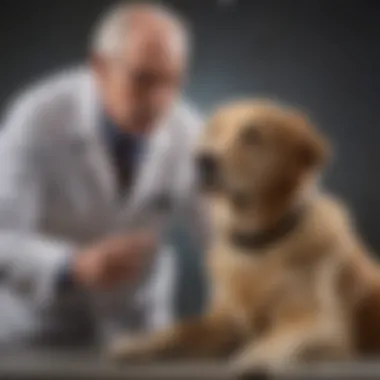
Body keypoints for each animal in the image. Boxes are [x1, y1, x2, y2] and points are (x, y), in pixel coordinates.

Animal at [109, 99, 380, 370]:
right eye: (214, 131)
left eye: (252, 135)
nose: (202, 161)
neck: (256, 245)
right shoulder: (222, 321)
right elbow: (179, 330)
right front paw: (136, 344)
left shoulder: (324, 325)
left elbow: (278, 338)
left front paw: (255, 360)